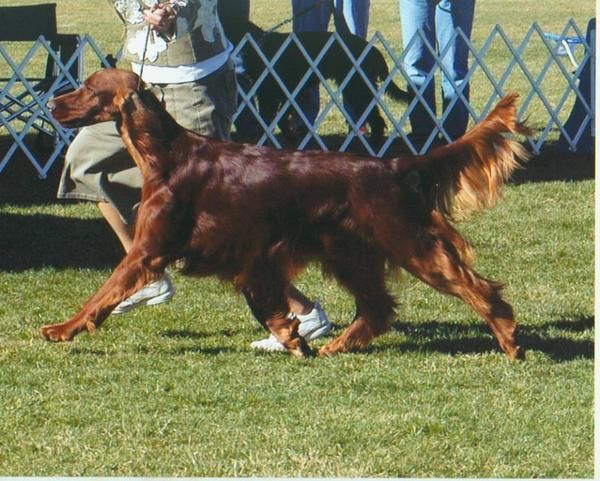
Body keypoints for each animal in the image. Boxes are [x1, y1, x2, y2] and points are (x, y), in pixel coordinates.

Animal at [41, 68, 528, 359]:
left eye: (88, 87)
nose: (50, 104)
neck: (168, 156)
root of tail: (390, 166)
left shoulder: (149, 250)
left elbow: (101, 295)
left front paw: (61, 329)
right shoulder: (249, 256)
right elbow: (268, 302)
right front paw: (293, 338)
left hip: (410, 243)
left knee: (479, 289)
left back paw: (509, 340)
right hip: (348, 253)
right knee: (377, 308)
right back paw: (335, 348)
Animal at [223, 18, 411, 147]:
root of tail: (373, 50)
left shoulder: (269, 93)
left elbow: (270, 120)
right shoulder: (280, 94)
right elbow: (281, 119)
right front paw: (291, 138)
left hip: (357, 87)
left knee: (377, 119)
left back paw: (375, 146)